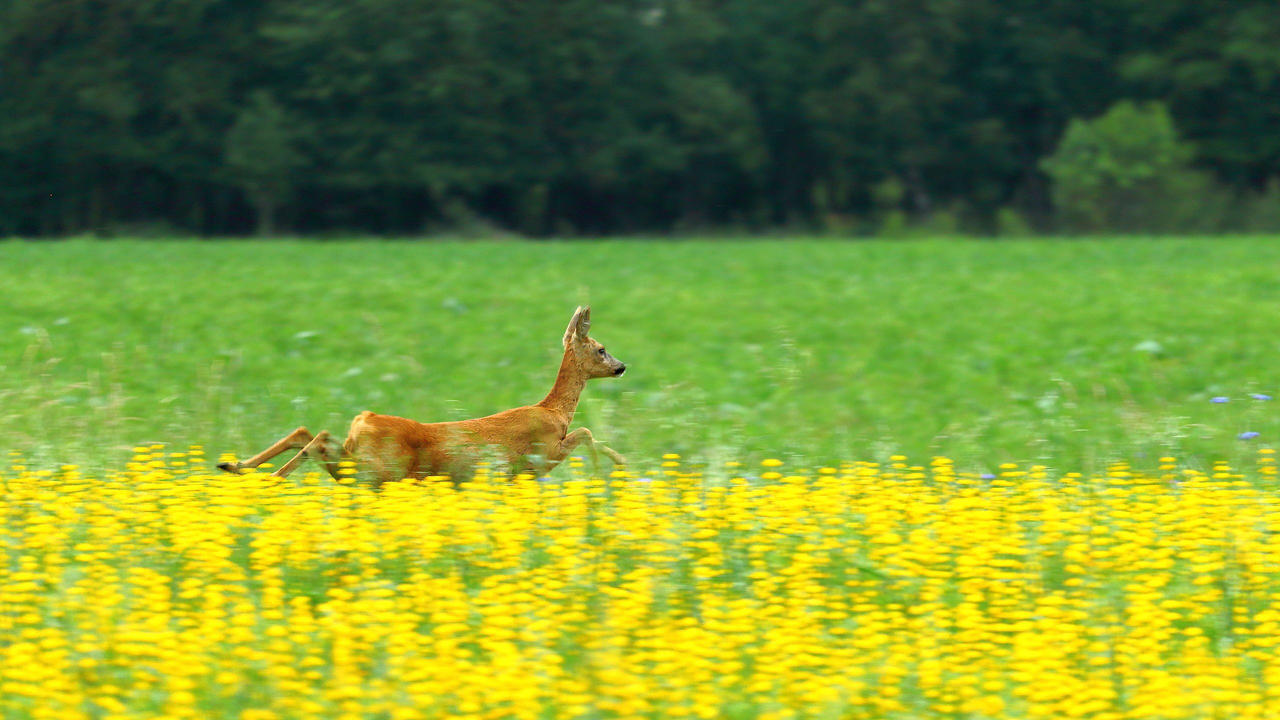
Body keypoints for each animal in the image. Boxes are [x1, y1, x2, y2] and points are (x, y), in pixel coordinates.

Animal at [220, 304, 629, 484]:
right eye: (601, 349)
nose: (621, 366)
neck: (554, 411)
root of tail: (363, 422)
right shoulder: (542, 454)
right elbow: (586, 432)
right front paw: (611, 467)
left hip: (364, 469)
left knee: (310, 433)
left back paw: (238, 467)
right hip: (378, 471)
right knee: (316, 439)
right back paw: (267, 478)